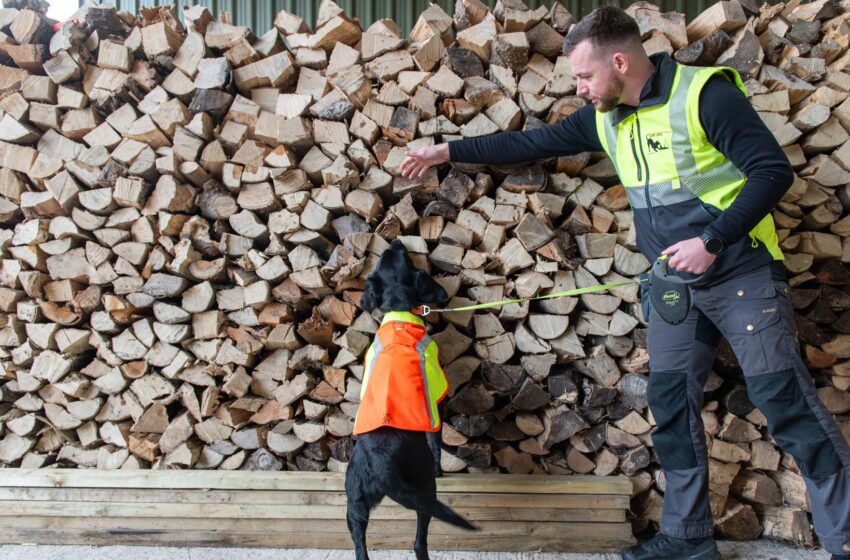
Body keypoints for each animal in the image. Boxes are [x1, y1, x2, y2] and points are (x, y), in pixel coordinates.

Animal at [344, 241, 476, 560]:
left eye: (384, 259)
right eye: (406, 257)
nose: (395, 242)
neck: (399, 312)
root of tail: (380, 461)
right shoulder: (436, 401)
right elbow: (437, 440)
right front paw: (442, 466)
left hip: (354, 505)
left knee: (360, 549)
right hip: (424, 488)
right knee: (418, 542)